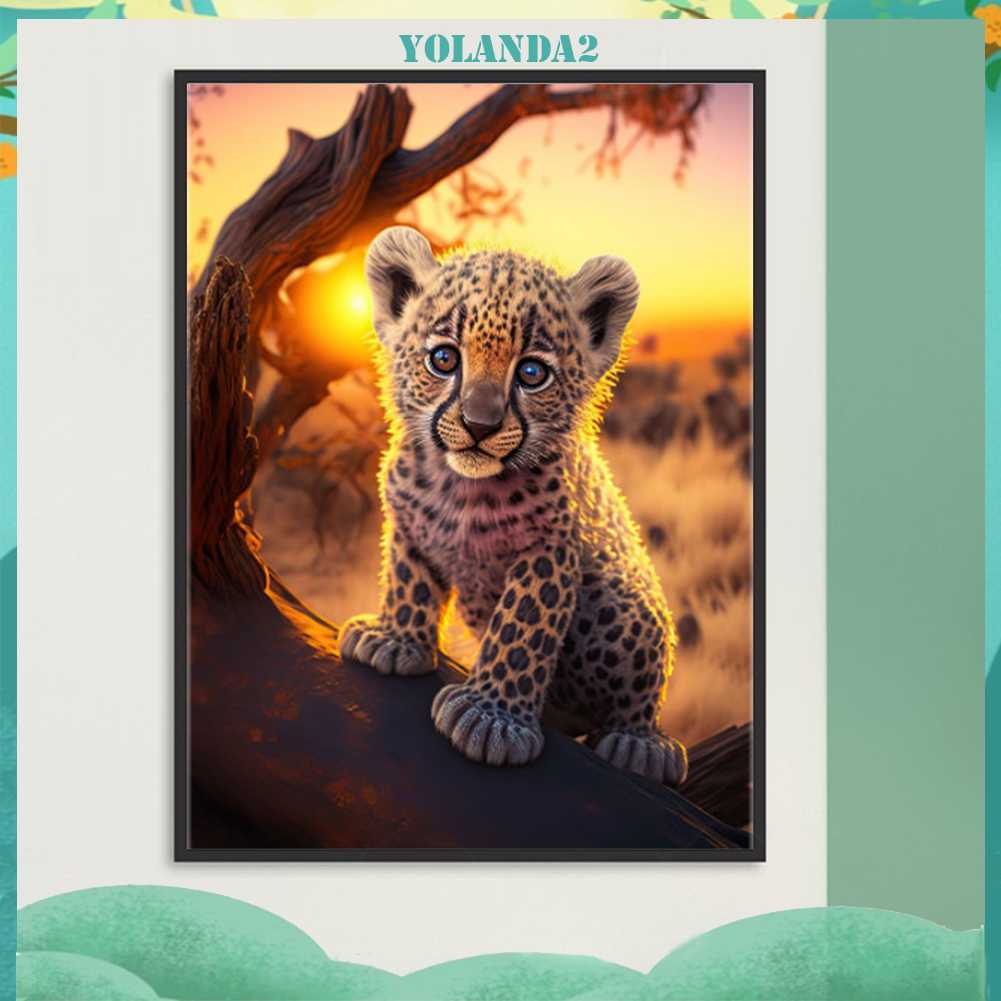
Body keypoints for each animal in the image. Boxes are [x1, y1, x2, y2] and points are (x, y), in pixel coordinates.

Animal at [339, 226, 688, 787]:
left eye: (531, 373)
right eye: (444, 359)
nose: (479, 425)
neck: (462, 491)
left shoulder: (549, 551)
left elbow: (521, 628)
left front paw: (492, 720)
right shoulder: (407, 520)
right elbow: (407, 579)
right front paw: (393, 640)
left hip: (623, 604)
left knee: (640, 687)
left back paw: (642, 746)